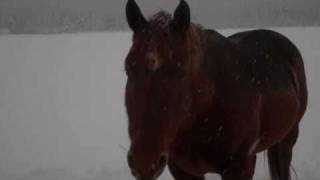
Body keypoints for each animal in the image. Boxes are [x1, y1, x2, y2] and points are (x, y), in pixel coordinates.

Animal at [123, 0, 308, 179]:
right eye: (128, 68)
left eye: (181, 71)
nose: (144, 161)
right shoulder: (182, 170)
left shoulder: (240, 168)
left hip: (287, 140)